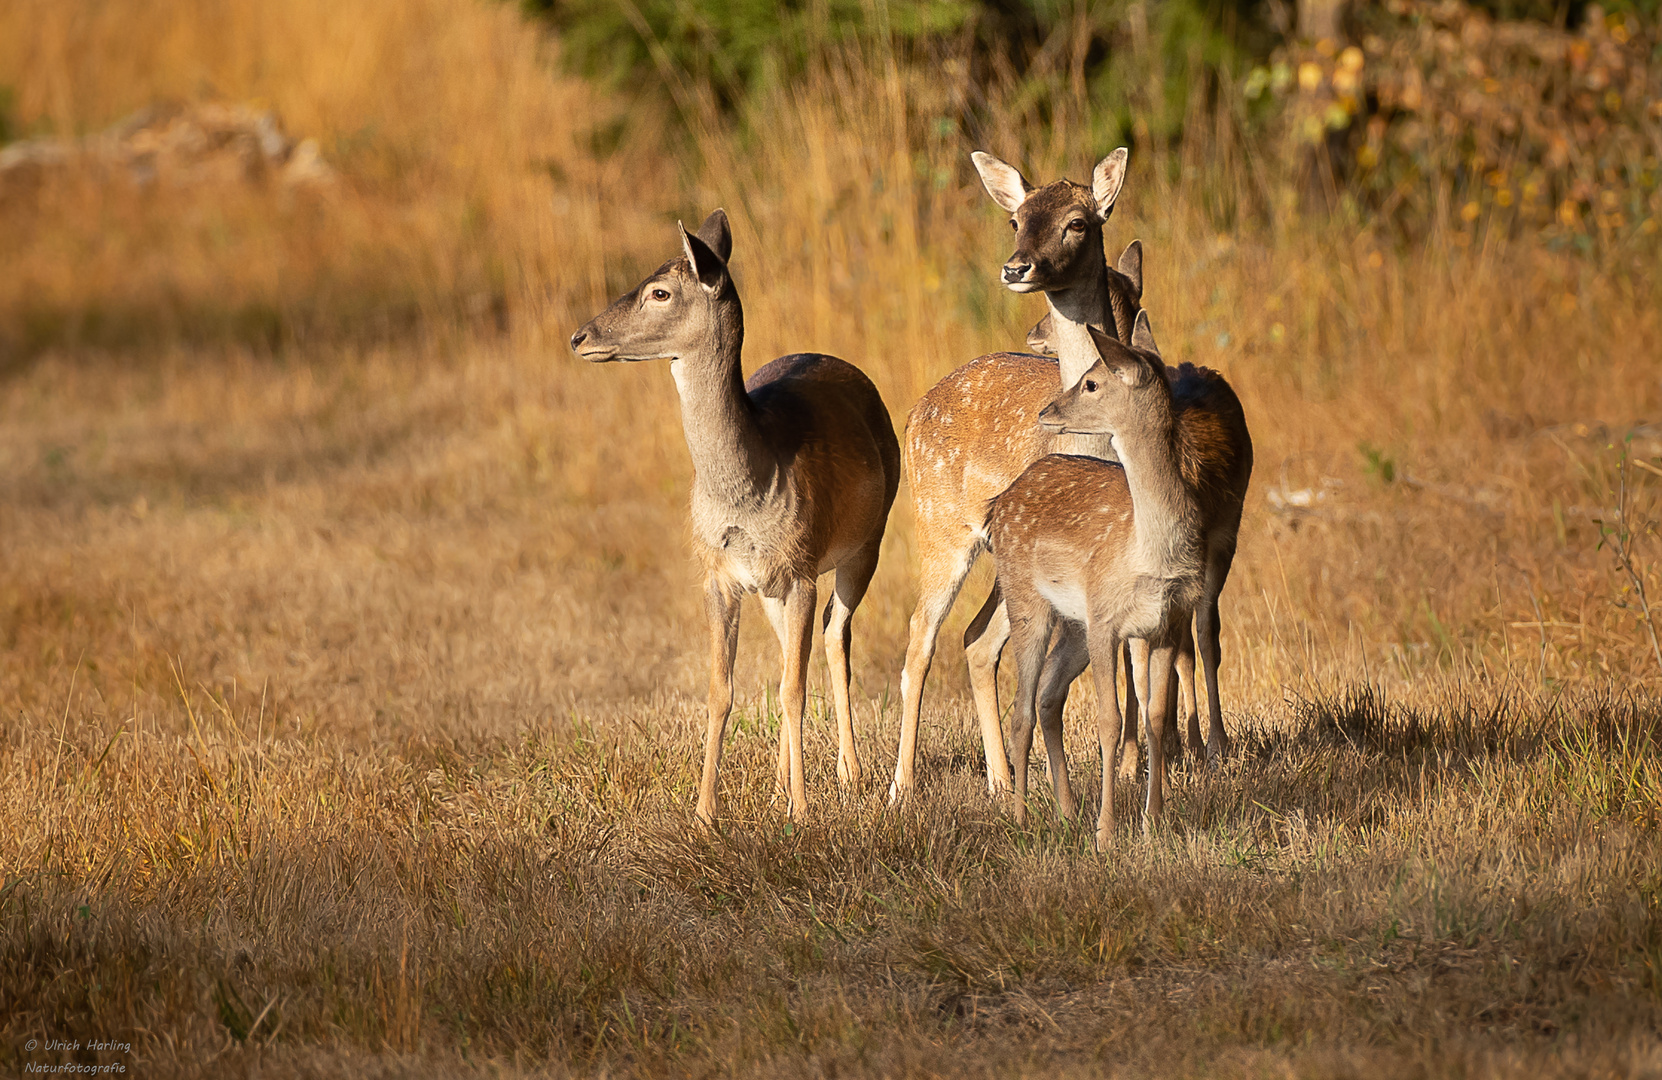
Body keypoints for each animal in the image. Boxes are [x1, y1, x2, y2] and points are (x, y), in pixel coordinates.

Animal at [575, 208, 904, 817]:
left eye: (659, 291)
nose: (579, 336)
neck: (749, 487)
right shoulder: (719, 574)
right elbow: (721, 689)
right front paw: (706, 812)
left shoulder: (801, 567)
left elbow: (795, 689)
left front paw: (801, 810)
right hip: (774, 586)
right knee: (790, 653)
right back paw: (778, 783)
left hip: (868, 541)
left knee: (835, 637)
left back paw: (847, 773)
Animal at [884, 147, 1143, 794]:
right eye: (1015, 219)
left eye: (1078, 221)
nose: (1015, 267)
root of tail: (914, 411)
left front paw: (1132, 773)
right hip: (941, 526)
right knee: (921, 634)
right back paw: (901, 787)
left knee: (976, 638)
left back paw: (1001, 783)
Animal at [983, 310, 1209, 840]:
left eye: (1091, 382)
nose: (1046, 410)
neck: (1149, 550)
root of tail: (998, 503)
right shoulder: (1107, 618)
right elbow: (1110, 720)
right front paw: (1107, 831)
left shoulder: (1167, 622)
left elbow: (1154, 716)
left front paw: (1152, 821)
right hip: (1026, 600)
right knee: (1021, 710)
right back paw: (1022, 818)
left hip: (1074, 624)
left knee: (1048, 697)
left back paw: (1066, 812)